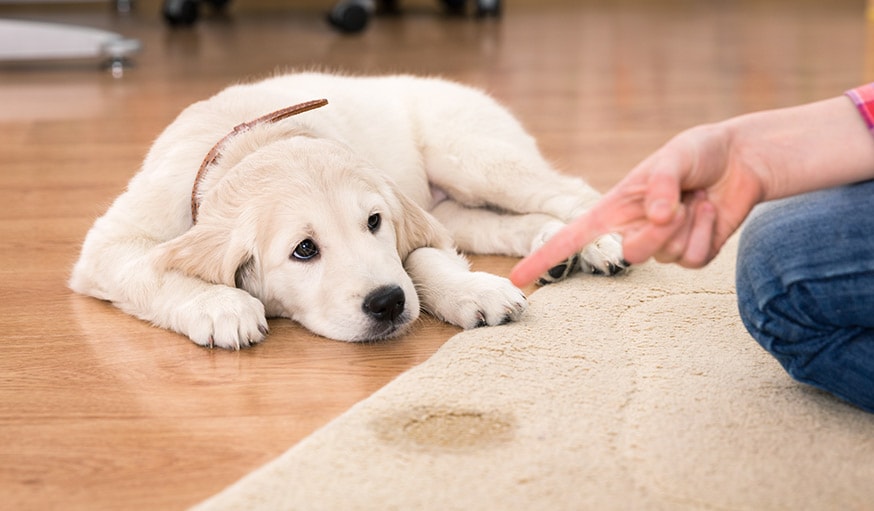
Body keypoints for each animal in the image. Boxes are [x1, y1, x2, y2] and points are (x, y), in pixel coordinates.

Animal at [70, 72, 628, 350]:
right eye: (304, 250)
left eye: (374, 222)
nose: (388, 303)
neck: (250, 142)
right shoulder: (109, 245)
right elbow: (151, 269)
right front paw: (220, 306)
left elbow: (421, 258)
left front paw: (472, 290)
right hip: (457, 202)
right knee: (501, 222)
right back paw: (553, 249)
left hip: (472, 156)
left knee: (568, 190)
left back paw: (600, 243)